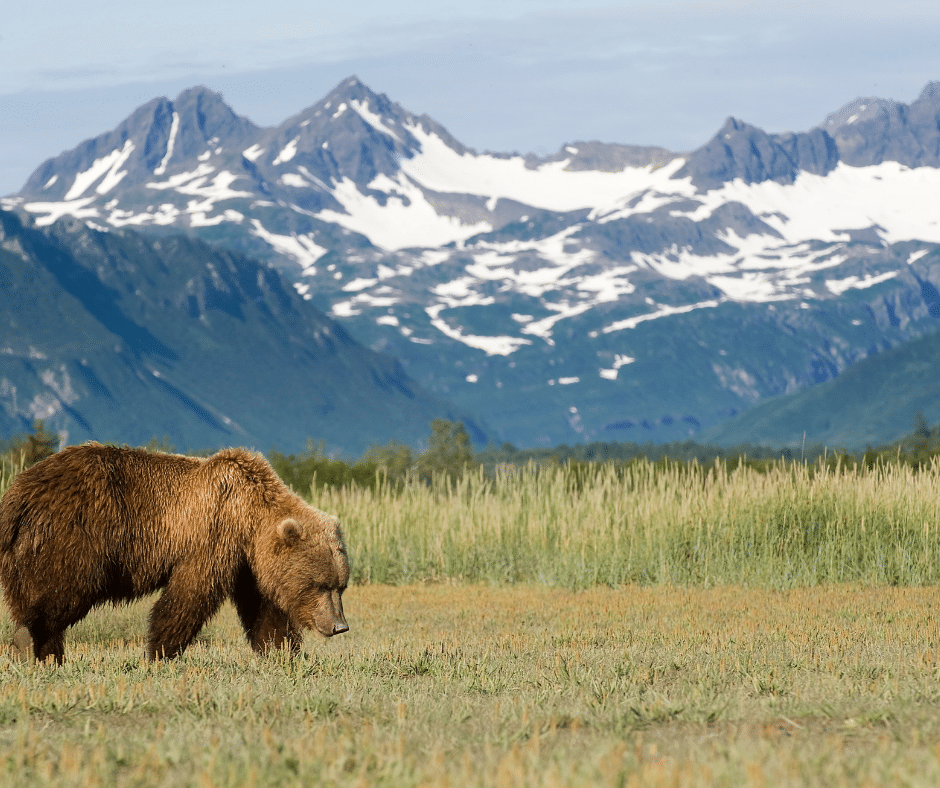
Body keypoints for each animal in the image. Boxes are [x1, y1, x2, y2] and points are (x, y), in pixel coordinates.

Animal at [0, 440, 350, 660]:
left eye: (341, 586)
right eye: (320, 585)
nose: (339, 626)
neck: (250, 516)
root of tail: (19, 490)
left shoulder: (249, 564)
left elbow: (263, 609)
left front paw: (284, 651)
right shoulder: (213, 534)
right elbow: (189, 595)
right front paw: (160, 651)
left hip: (23, 549)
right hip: (76, 535)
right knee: (63, 589)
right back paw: (29, 643)